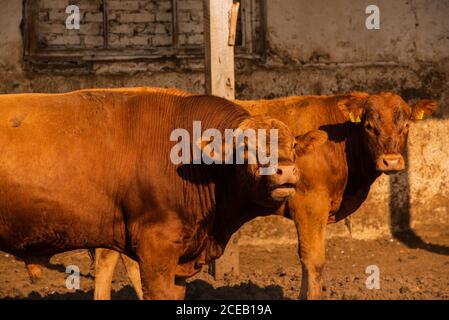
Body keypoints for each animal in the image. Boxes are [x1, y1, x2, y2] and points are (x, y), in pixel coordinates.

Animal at [90, 90, 434, 300]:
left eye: (405, 124)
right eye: (368, 126)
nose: (392, 162)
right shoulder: (310, 204)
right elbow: (313, 260)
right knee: (112, 259)